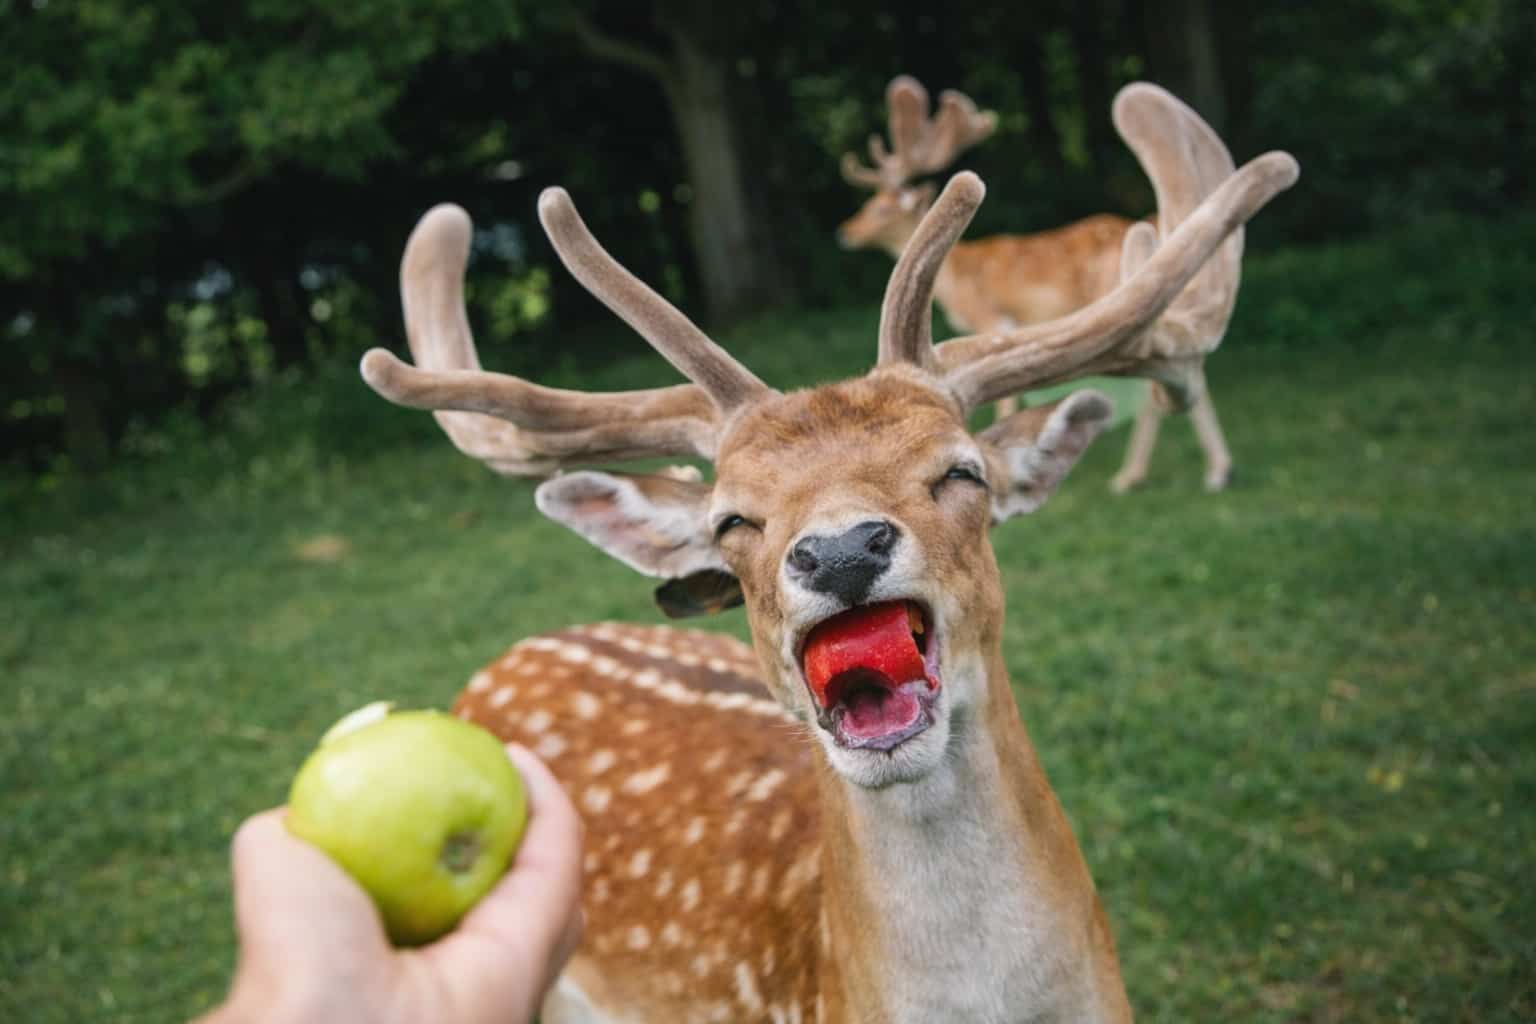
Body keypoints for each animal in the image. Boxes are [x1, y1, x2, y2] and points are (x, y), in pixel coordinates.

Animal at [839, 75, 1237, 494]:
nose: (845, 231)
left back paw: (1149, 474)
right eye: (869, 201)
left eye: (882, 208)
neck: (956, 278)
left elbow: (1003, 404)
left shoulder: (992, 317)